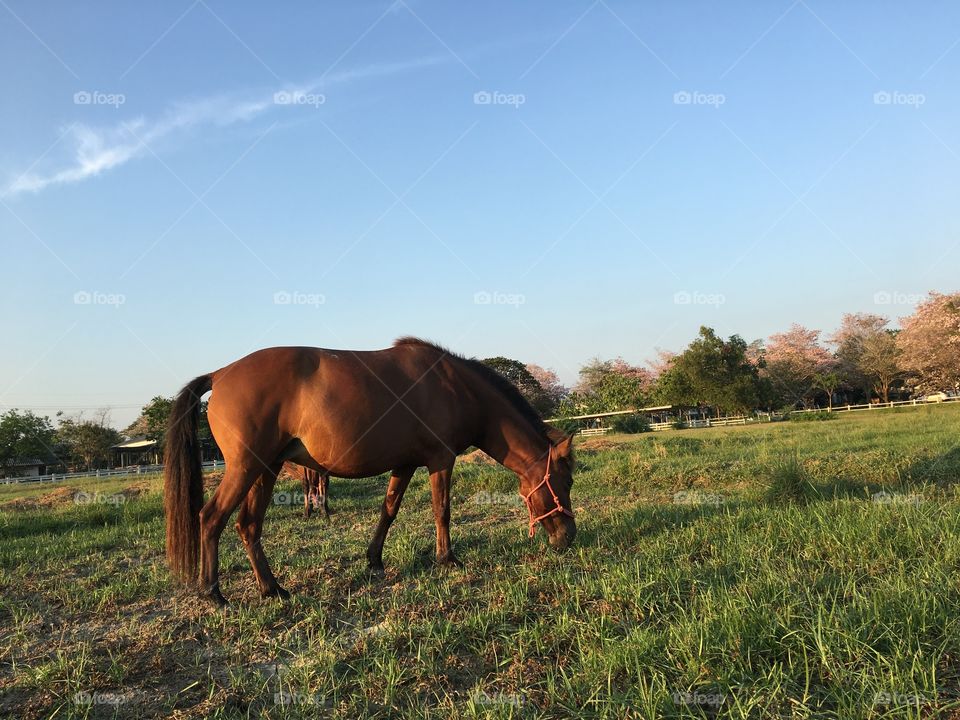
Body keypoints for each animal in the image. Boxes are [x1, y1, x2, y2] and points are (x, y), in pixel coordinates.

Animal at [164, 337, 576, 606]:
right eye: (565, 480)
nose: (568, 537)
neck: (456, 387)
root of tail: (221, 373)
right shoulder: (441, 460)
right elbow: (441, 510)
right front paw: (448, 559)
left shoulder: (405, 464)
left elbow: (388, 511)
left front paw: (374, 561)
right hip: (247, 468)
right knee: (211, 517)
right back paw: (214, 594)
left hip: (266, 469)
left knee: (248, 525)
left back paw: (272, 589)